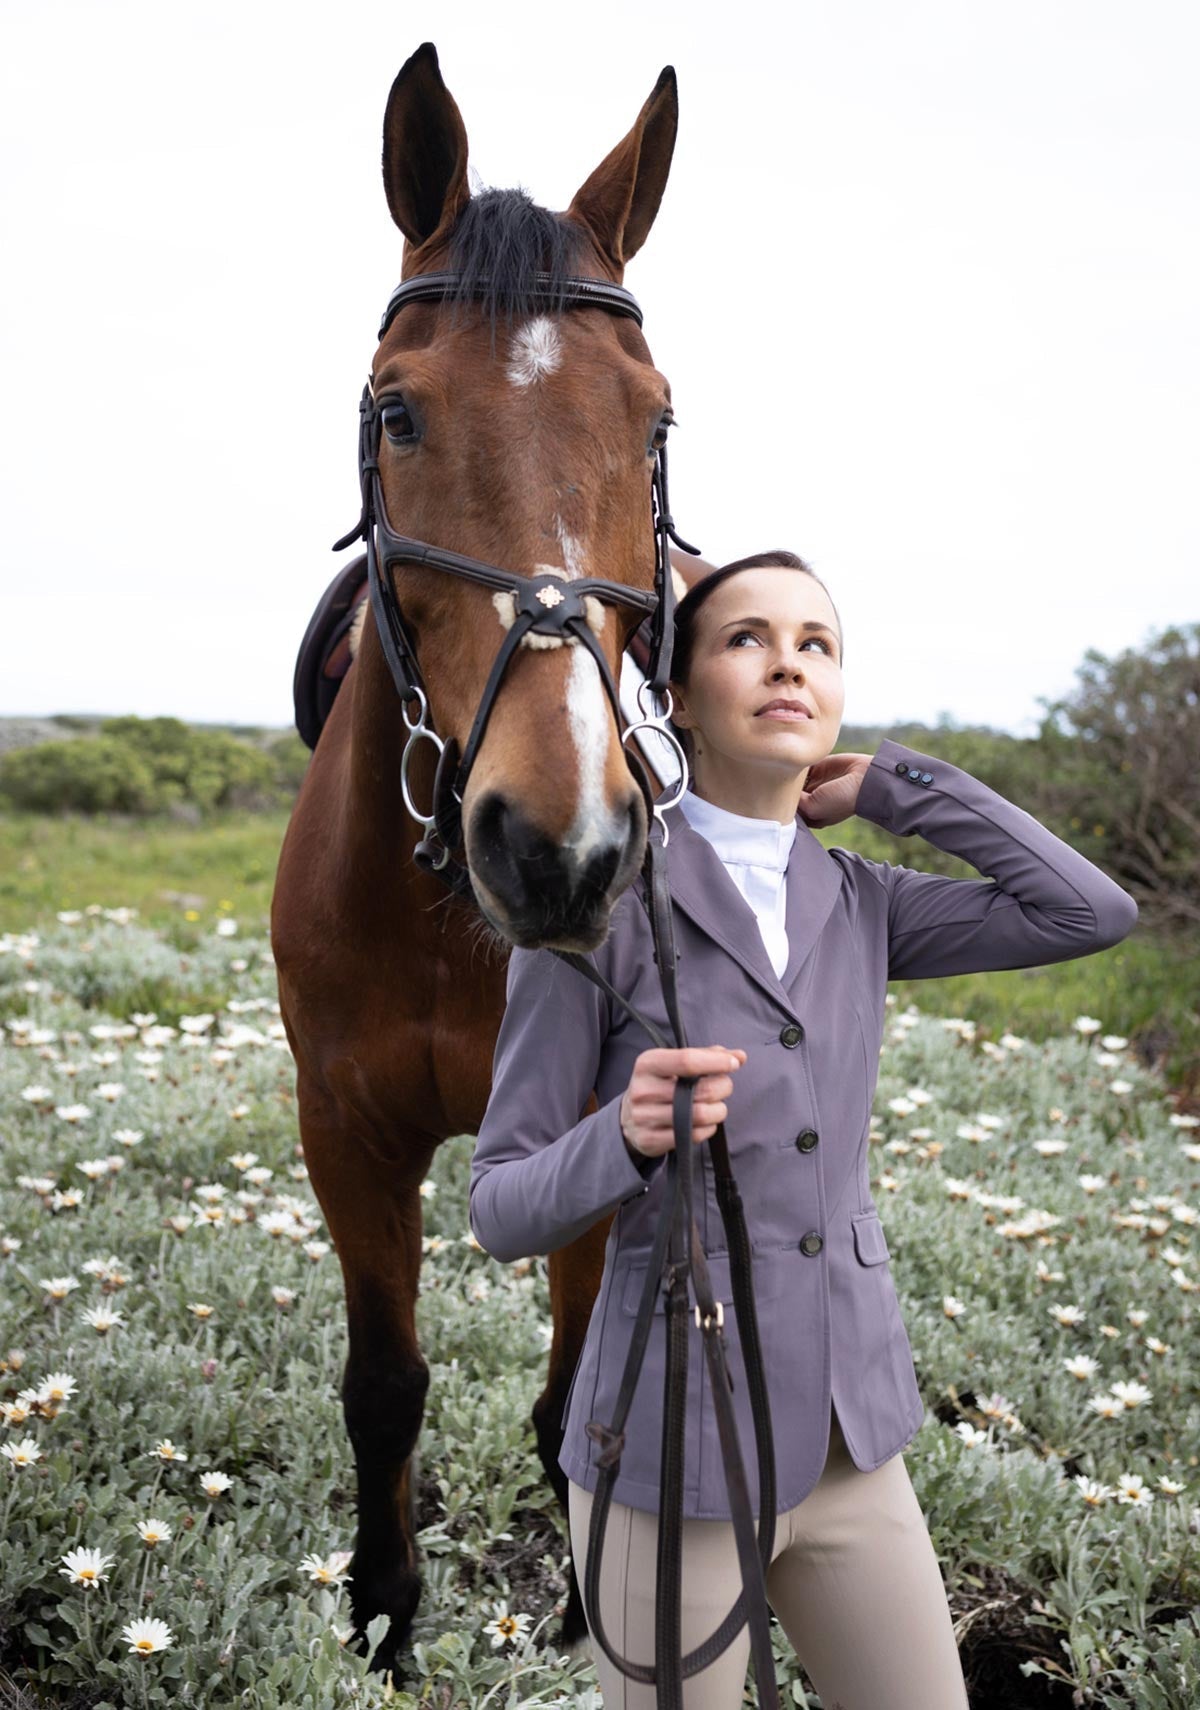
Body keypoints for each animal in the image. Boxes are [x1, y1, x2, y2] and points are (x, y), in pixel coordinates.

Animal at [273, 36, 714, 1668]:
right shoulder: (345, 1133)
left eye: (653, 421)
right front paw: (385, 1617)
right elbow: (384, 1388)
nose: (558, 844)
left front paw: (595, 1607)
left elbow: (576, 1396)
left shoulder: (610, 1128)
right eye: (397, 412)